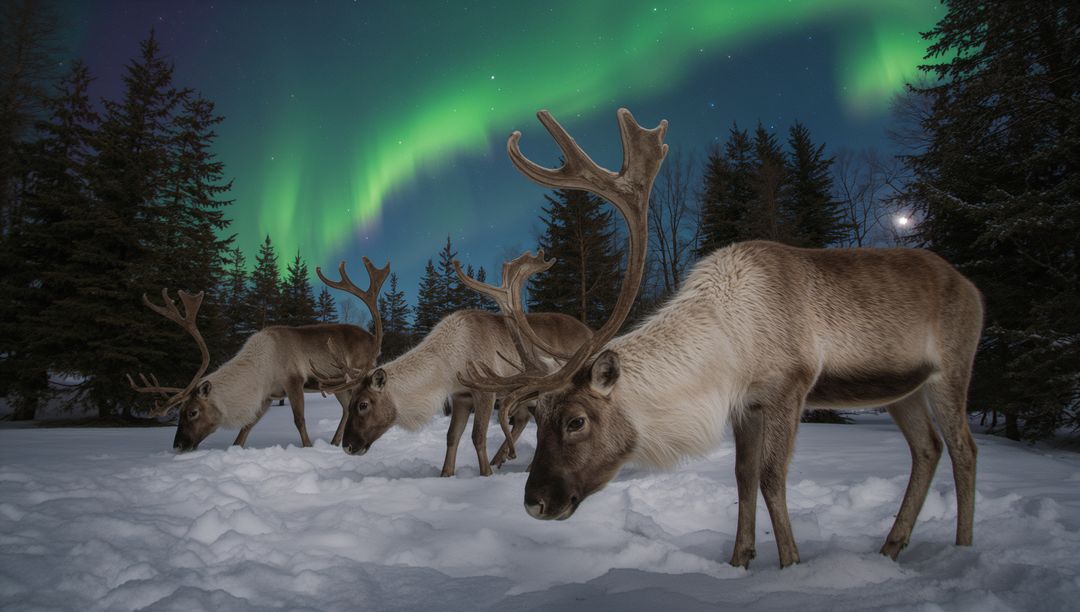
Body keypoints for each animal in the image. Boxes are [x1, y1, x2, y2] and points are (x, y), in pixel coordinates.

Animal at [127, 257, 389, 452]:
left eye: (193, 412)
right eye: (179, 411)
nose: (179, 444)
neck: (260, 369)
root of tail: (373, 340)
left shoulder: (293, 381)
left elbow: (299, 420)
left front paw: (307, 447)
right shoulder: (267, 396)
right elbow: (246, 427)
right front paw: (235, 447)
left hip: (355, 374)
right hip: (341, 385)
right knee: (346, 408)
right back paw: (335, 442)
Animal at [319, 306, 592, 477]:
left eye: (363, 404)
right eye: (350, 402)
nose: (348, 446)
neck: (449, 368)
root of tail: (588, 330)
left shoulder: (485, 392)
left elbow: (477, 436)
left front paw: (485, 473)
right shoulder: (461, 397)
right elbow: (452, 436)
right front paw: (446, 473)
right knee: (527, 420)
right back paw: (505, 459)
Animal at [458, 107, 983, 569]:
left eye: (576, 421)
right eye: (538, 416)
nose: (535, 503)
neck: (730, 347)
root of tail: (972, 286)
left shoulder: (790, 387)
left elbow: (772, 478)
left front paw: (791, 564)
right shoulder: (746, 405)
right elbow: (743, 477)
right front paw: (739, 560)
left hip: (953, 366)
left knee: (964, 449)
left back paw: (963, 550)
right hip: (902, 389)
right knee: (927, 450)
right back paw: (891, 547)